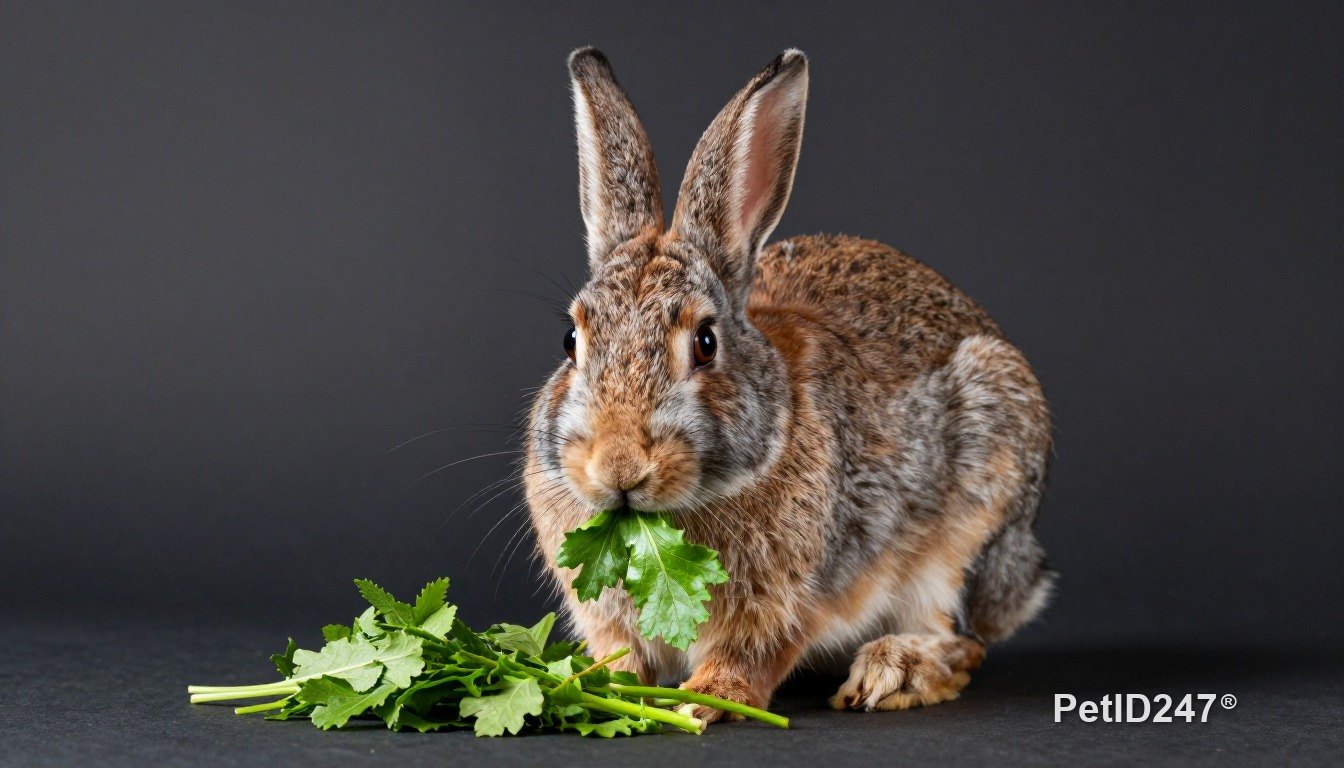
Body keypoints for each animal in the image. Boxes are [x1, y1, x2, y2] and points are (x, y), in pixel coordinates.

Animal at [525, 47, 1054, 722]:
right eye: (571, 340)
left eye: (705, 343)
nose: (618, 467)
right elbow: (621, 654)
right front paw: (602, 687)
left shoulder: (788, 598)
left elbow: (753, 652)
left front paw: (704, 699)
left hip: (975, 514)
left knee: (962, 640)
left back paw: (892, 671)